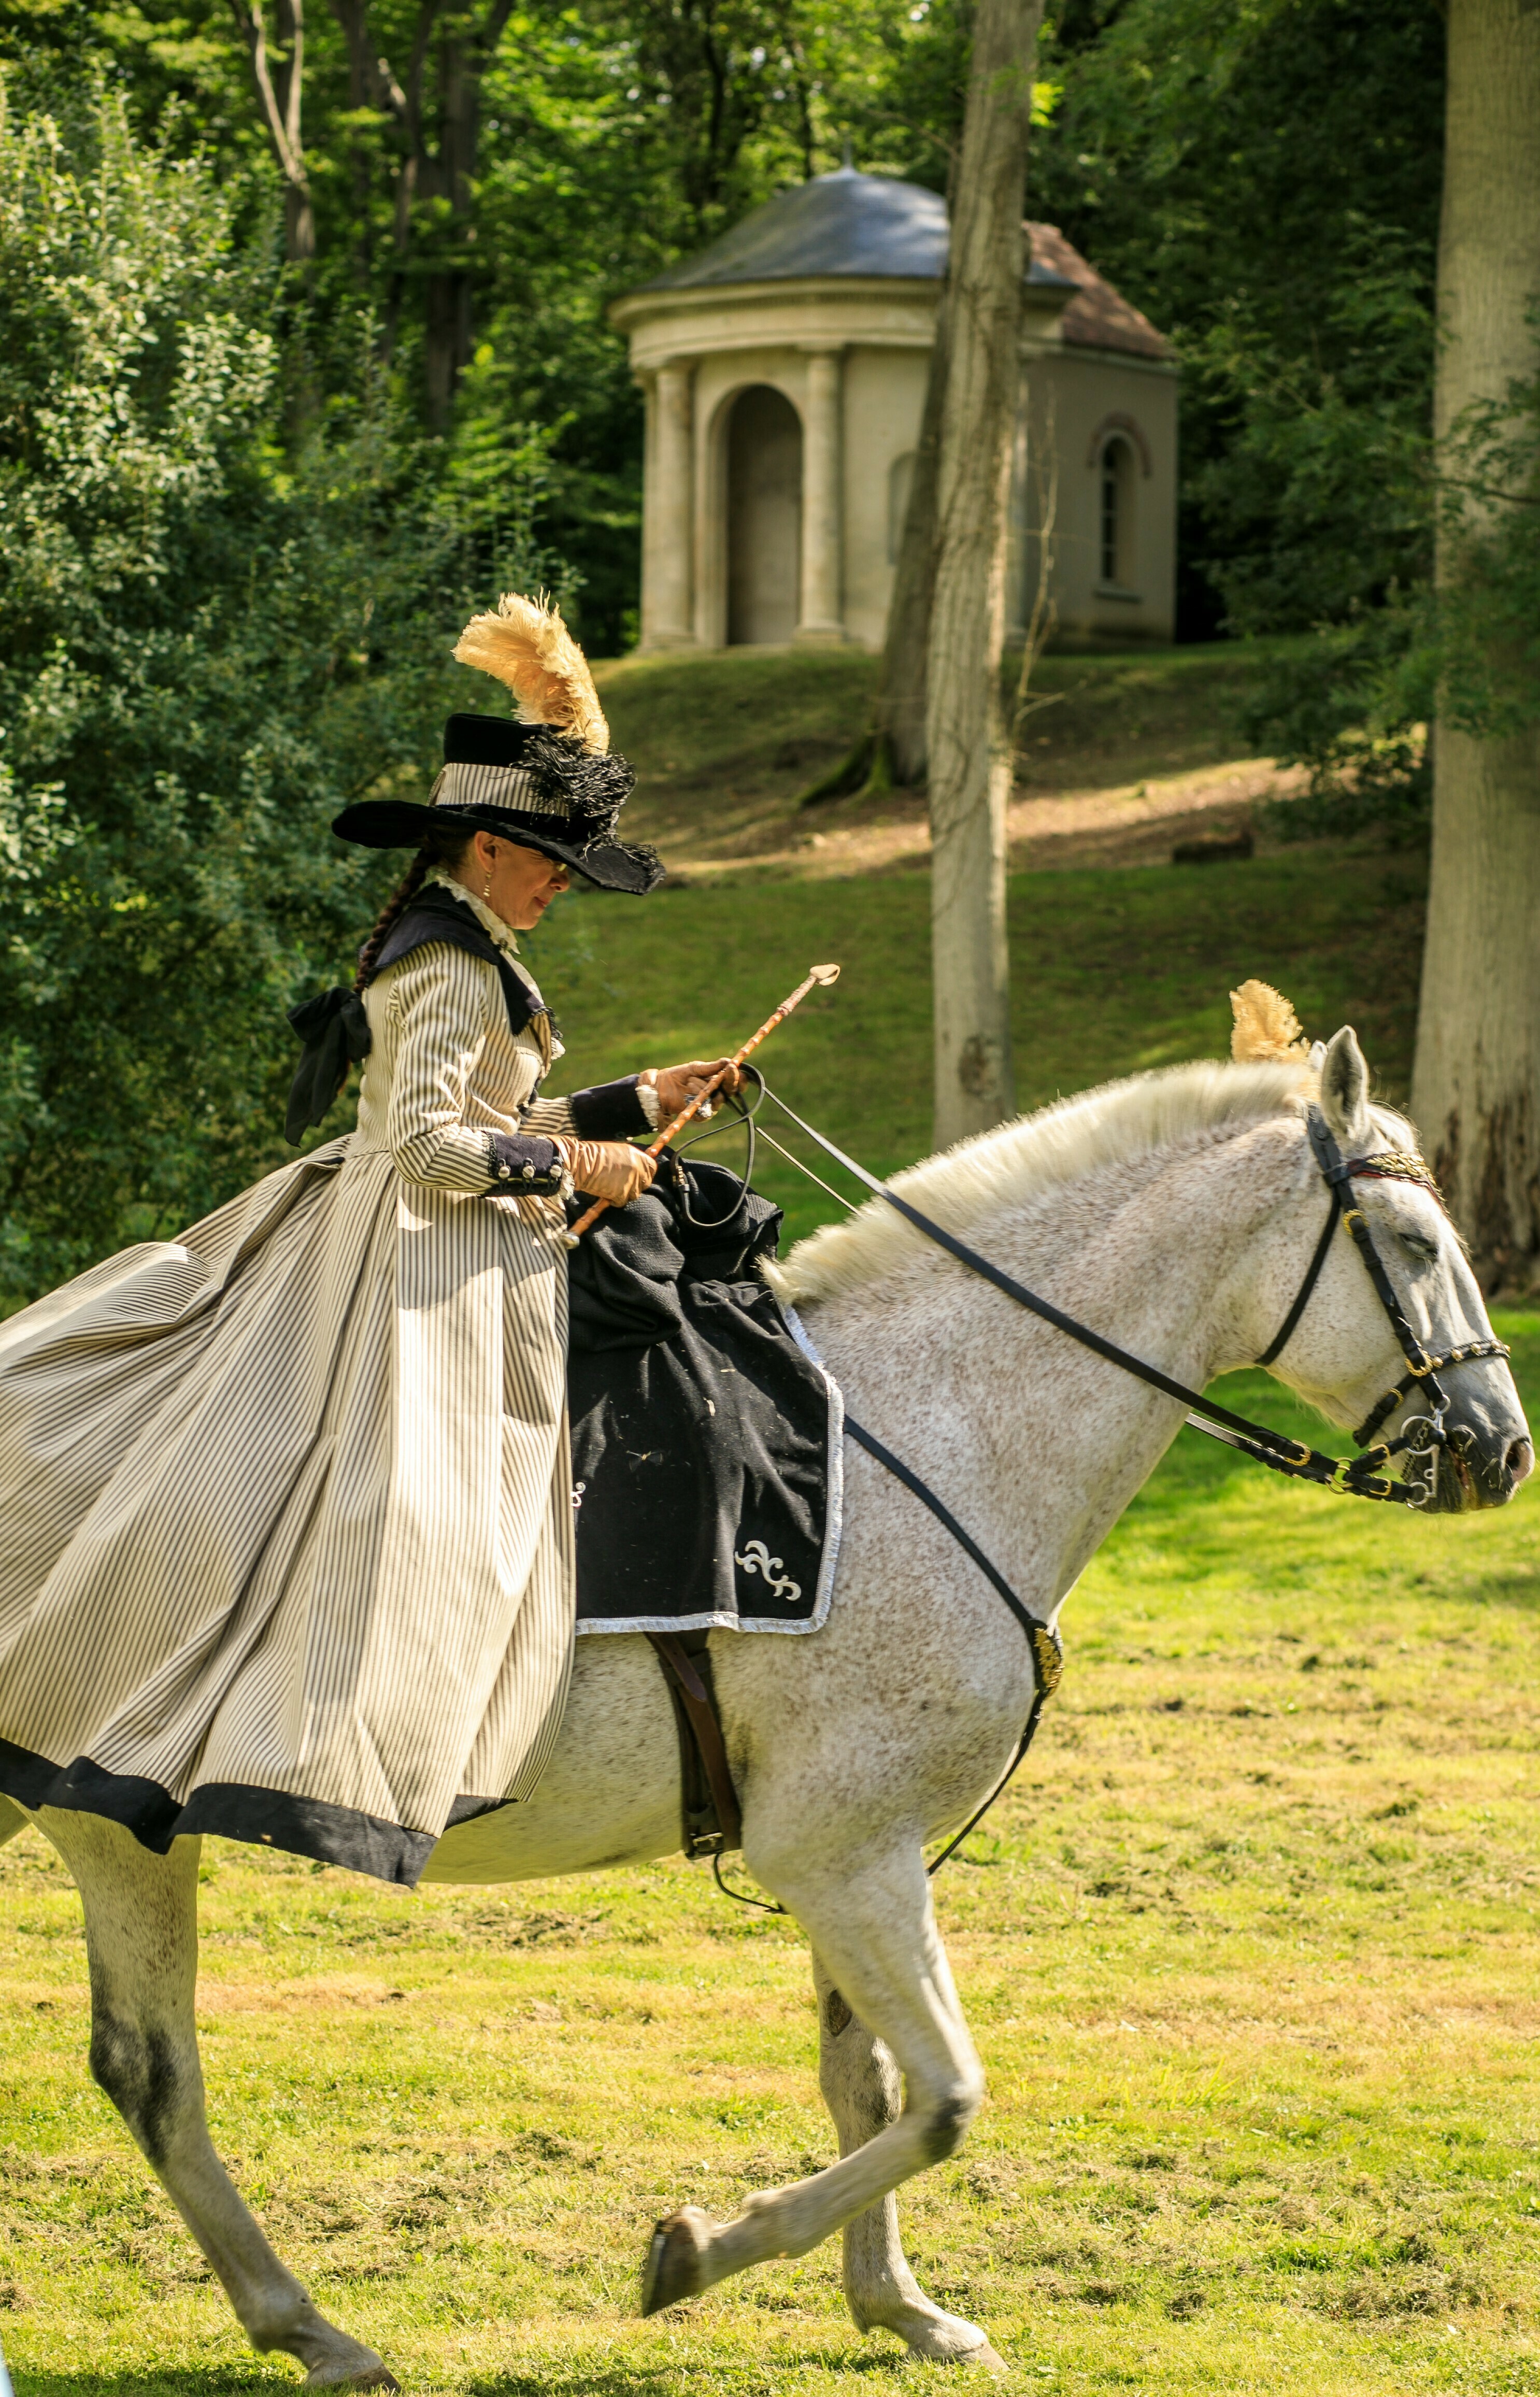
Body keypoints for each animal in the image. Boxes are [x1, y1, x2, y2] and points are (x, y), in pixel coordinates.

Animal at [6, 1025, 1525, 2377]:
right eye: (1411, 1246)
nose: (1500, 1450)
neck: (932, 1427)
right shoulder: (842, 1853)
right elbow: (946, 2096)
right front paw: (701, 2250)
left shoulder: (868, 1853)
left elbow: (874, 2087)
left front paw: (897, 2305)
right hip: (116, 1825)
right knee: (156, 2073)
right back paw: (308, 2324)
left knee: (143, 2072)